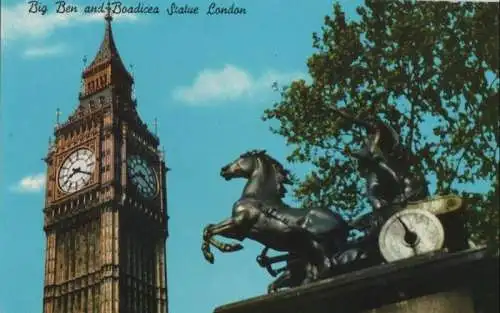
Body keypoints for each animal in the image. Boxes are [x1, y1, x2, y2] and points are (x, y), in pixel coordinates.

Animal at [201, 150, 350, 282]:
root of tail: (343, 223)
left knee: (327, 266)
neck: (257, 197)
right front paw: (227, 248)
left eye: (242, 156)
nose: (224, 169)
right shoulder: (241, 232)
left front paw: (222, 251)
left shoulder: (238, 222)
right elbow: (208, 228)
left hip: (316, 245)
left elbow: (208, 231)